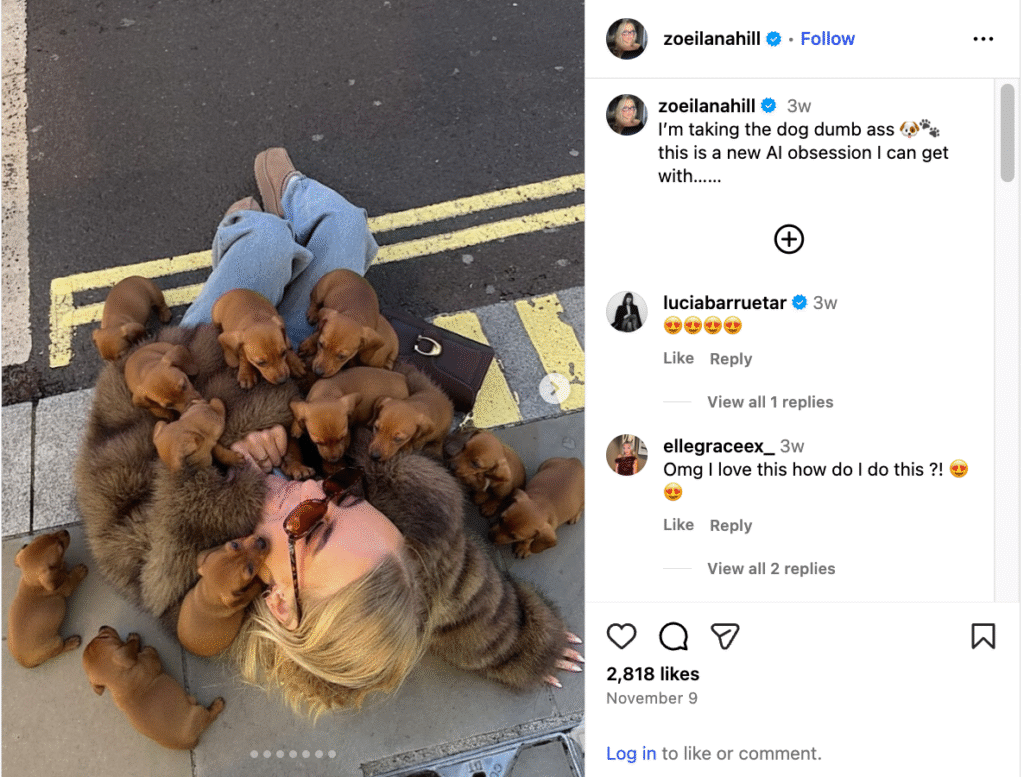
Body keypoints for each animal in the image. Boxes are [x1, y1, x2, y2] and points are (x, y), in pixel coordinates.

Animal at [8, 531, 88, 668]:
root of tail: (25, 664)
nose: (65, 531)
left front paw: (63, 567)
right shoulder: (67, 587)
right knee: (60, 650)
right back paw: (71, 642)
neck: (32, 584)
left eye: (46, 534)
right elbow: (71, 578)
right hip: (56, 642)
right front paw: (78, 571)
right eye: (60, 547)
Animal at [82, 626, 225, 750]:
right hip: (199, 714)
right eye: (104, 637)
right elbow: (148, 651)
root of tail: (190, 743)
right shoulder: (151, 660)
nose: (102, 626)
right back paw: (217, 705)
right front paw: (136, 641)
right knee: (209, 717)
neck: (118, 681)